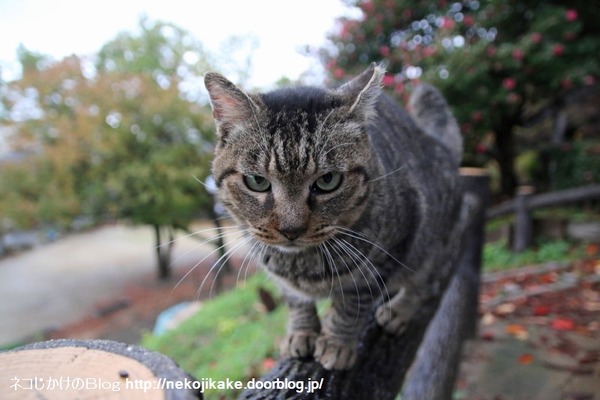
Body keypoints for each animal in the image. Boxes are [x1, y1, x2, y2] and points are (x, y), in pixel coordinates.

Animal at [204, 64, 466, 370]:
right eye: (257, 181)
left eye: (328, 181)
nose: (291, 229)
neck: (302, 265)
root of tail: (440, 147)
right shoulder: (284, 283)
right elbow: (296, 302)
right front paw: (301, 332)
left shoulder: (385, 259)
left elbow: (352, 306)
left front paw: (337, 343)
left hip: (433, 244)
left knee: (426, 284)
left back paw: (398, 310)